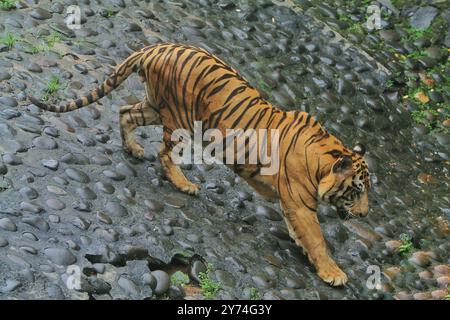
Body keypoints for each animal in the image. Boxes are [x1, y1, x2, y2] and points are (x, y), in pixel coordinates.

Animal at [29, 42, 370, 284]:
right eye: (356, 191)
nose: (366, 214)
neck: (324, 159)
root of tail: (157, 47)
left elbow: (304, 235)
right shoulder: (300, 202)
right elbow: (316, 238)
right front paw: (334, 273)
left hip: (156, 106)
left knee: (126, 112)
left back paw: (135, 149)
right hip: (179, 118)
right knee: (164, 153)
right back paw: (184, 184)